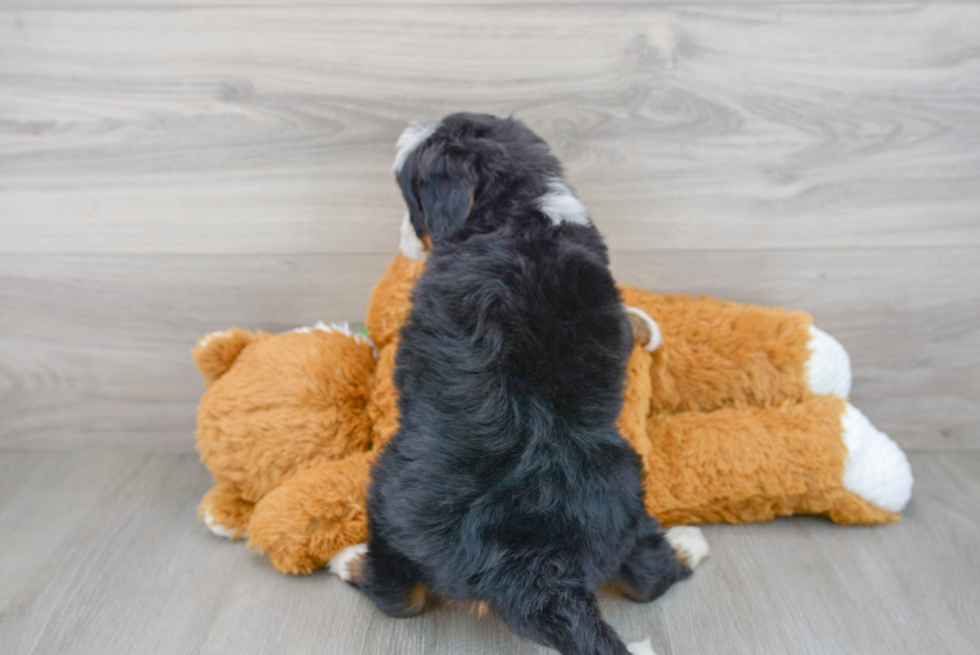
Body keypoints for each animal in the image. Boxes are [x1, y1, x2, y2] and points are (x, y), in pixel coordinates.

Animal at [334, 114, 708, 655]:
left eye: (409, 195)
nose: (404, 240)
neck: (518, 207)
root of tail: (535, 568)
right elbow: (627, 320)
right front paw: (650, 327)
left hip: (387, 494)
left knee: (399, 595)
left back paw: (348, 560)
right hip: (624, 495)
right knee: (646, 576)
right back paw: (687, 544)